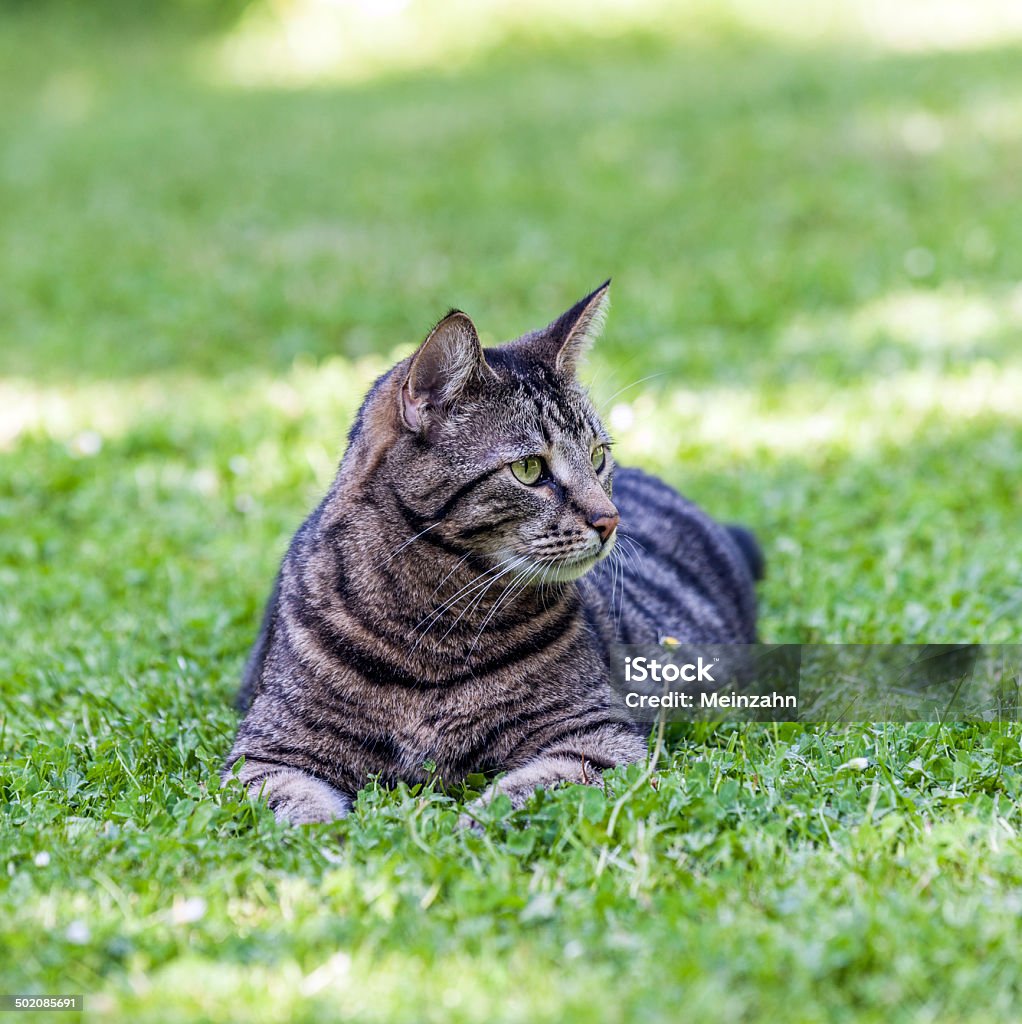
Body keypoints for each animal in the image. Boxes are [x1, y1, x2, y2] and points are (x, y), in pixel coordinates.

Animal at [228, 282, 765, 823]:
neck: (432, 631)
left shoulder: (595, 735)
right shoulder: (266, 754)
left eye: (598, 457)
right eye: (529, 469)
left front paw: (465, 830)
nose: (610, 519)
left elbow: (525, 791)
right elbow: (297, 807)